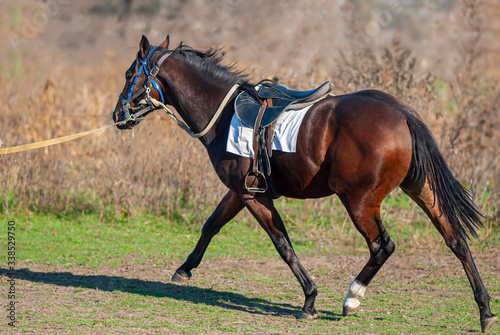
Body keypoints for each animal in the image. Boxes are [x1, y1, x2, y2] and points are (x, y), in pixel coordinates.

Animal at [111, 34, 498, 334]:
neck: (223, 113)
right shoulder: (241, 192)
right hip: (420, 190)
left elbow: (282, 244)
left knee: (382, 246)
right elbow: (211, 225)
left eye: (130, 73)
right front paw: (185, 268)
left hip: (359, 200)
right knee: (455, 239)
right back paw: (484, 310)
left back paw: (352, 297)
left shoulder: (253, 197)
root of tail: (402, 113)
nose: (117, 115)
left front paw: (310, 299)